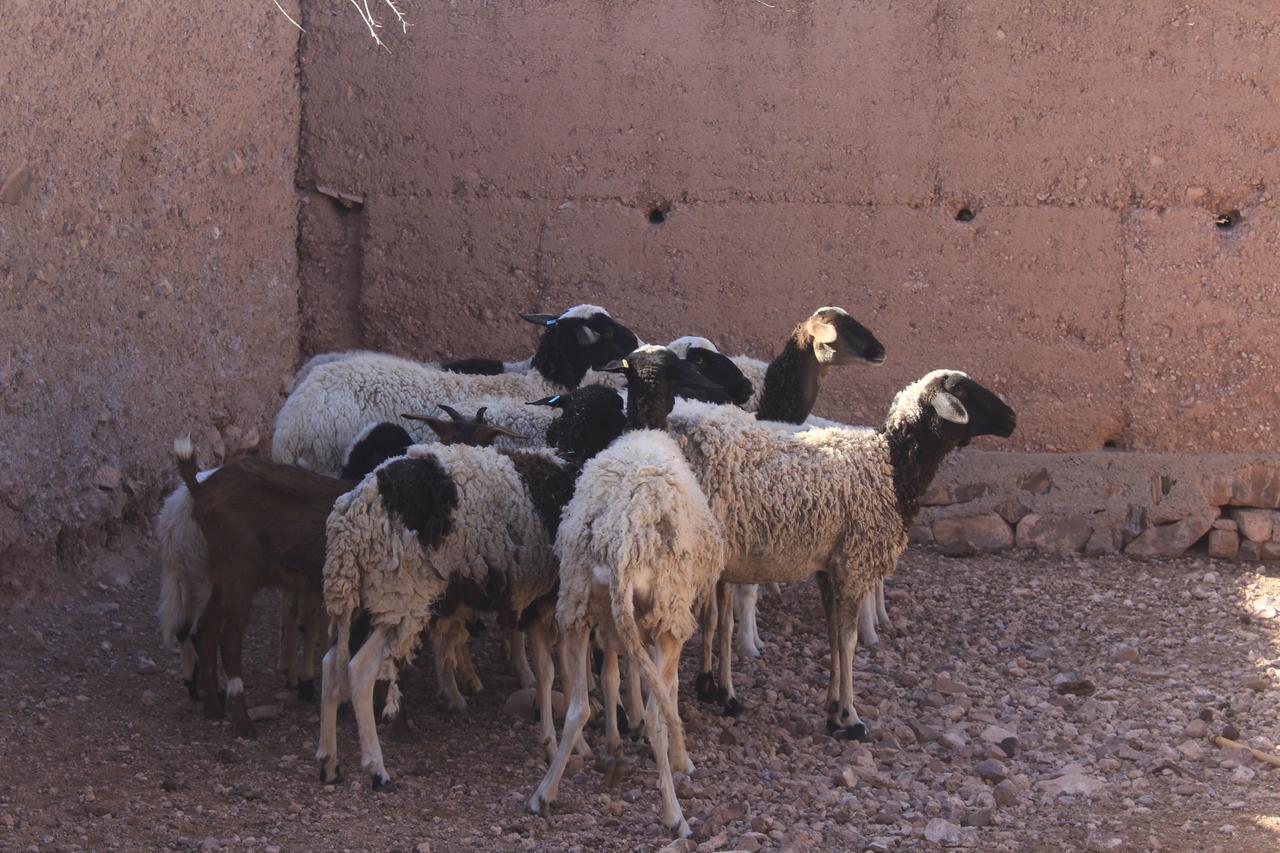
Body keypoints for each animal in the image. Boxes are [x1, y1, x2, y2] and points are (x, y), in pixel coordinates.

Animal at [314, 381, 634, 778]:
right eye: (616, 411)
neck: (569, 462)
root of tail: (352, 516)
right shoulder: (559, 600)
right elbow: (568, 674)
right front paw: (579, 742)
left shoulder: (543, 602)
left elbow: (554, 671)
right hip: (399, 595)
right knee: (359, 671)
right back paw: (376, 767)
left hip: (364, 596)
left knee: (330, 664)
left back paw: (328, 759)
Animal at [527, 343, 732, 829]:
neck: (643, 430)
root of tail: (621, 543)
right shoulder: (663, 617)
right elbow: (664, 691)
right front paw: (680, 759)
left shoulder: (626, 620)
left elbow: (619, 676)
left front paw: (624, 737)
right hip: (667, 611)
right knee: (660, 711)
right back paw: (675, 813)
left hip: (579, 607)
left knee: (579, 706)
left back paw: (546, 793)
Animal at [670, 368, 1018, 732]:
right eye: (962, 390)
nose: (1011, 418)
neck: (891, 465)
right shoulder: (854, 562)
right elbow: (848, 642)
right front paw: (850, 717)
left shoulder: (830, 566)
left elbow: (835, 635)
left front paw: (833, 706)